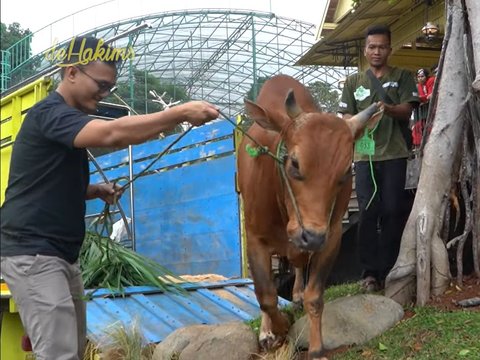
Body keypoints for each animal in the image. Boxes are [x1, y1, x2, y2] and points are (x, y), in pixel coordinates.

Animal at [237, 74, 382, 358]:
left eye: (345, 172)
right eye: (294, 163)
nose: (311, 236)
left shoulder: (332, 236)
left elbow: (314, 296)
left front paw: (316, 348)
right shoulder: (255, 238)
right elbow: (266, 296)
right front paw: (277, 328)